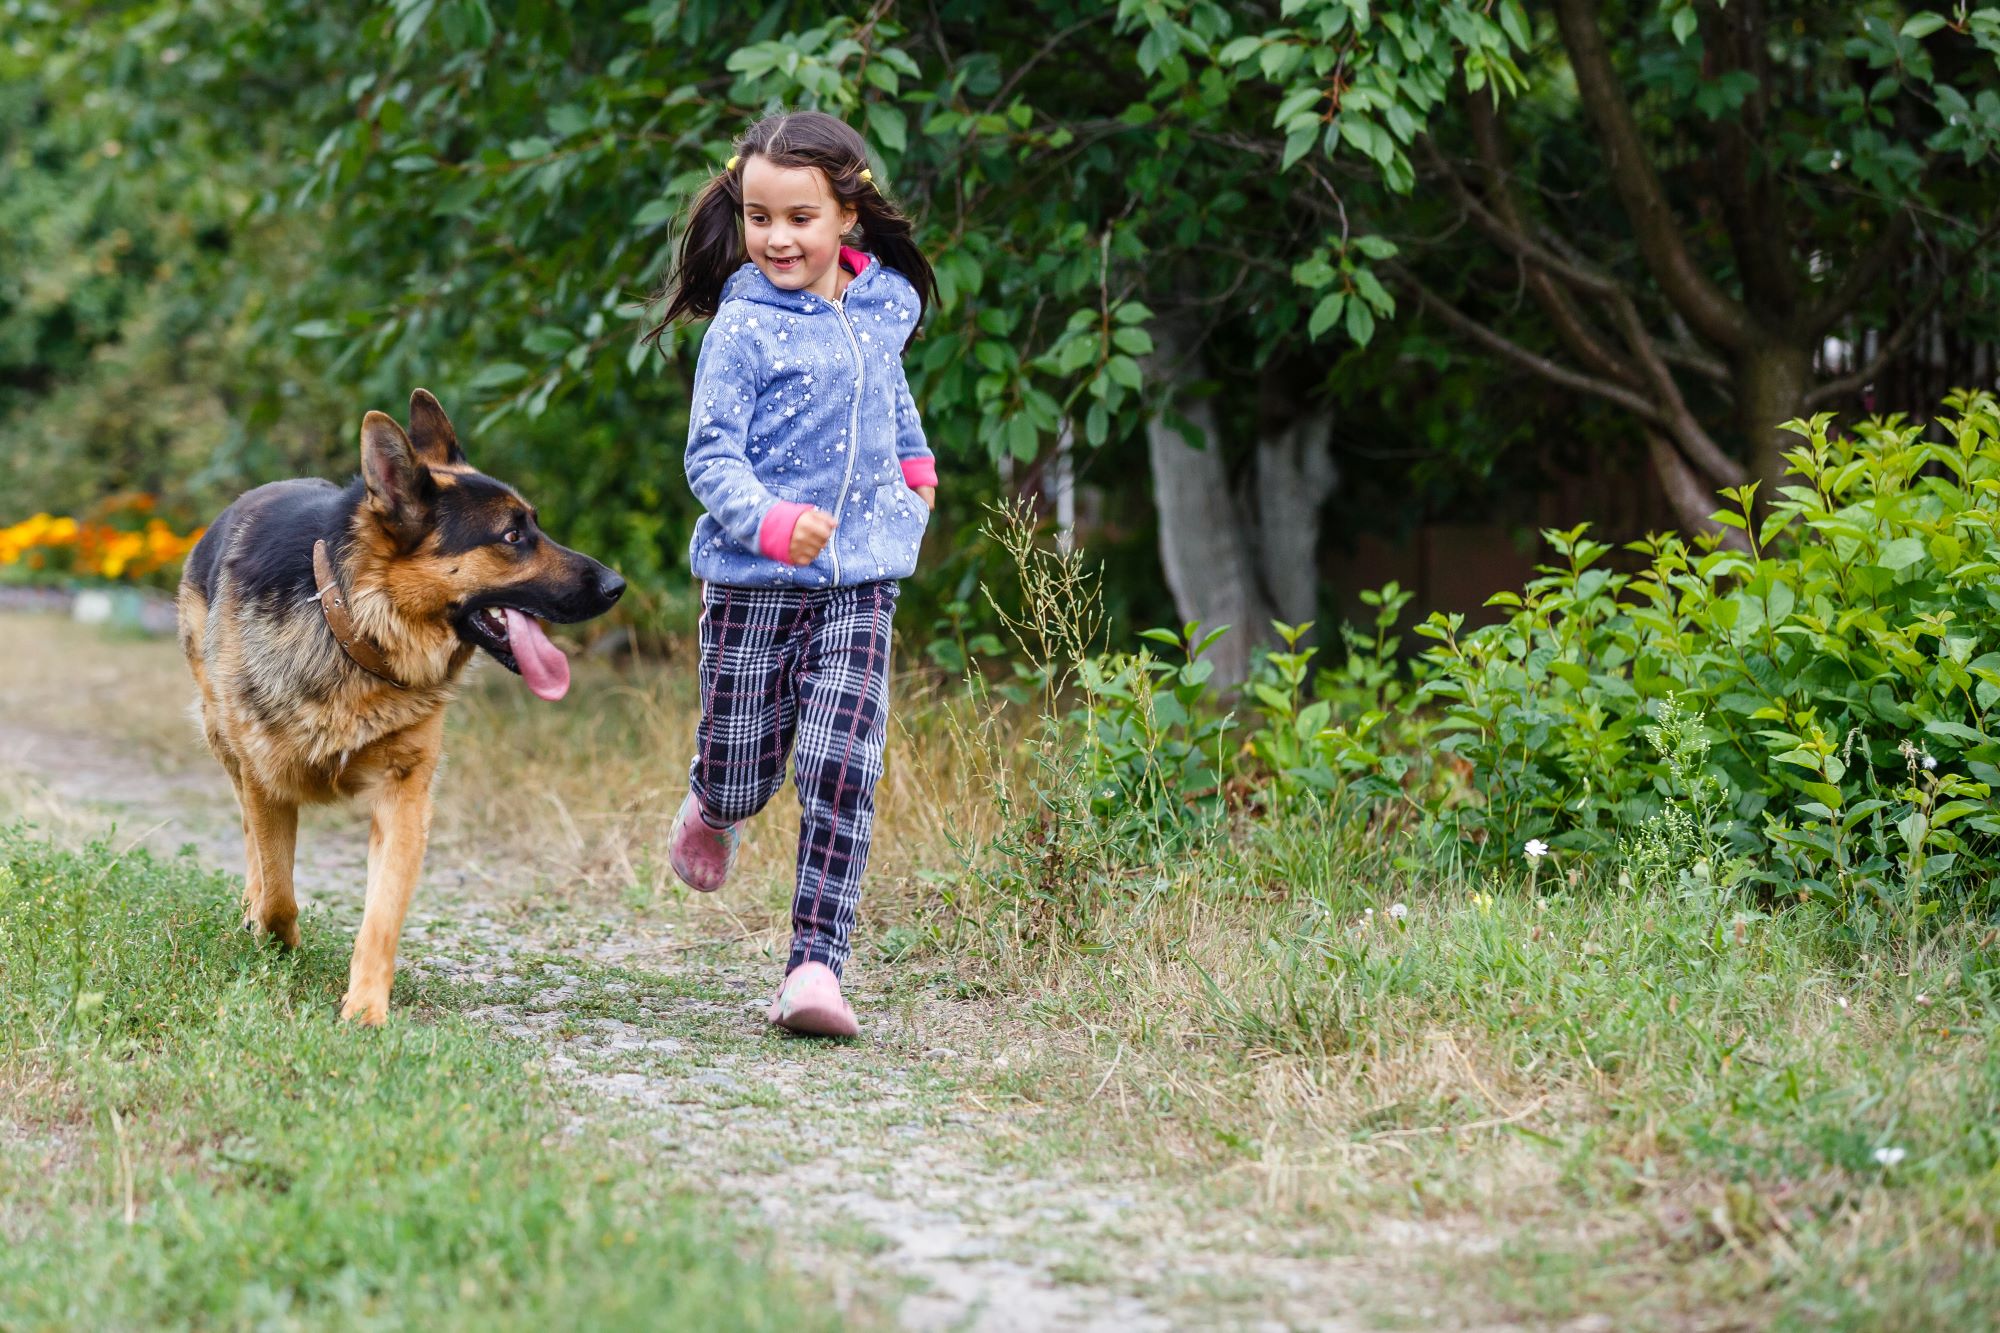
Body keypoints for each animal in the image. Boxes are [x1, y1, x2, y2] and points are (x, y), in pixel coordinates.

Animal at [178, 390, 624, 1020]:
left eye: (533, 525)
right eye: (512, 536)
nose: (617, 586)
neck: (356, 628)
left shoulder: (404, 798)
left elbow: (381, 914)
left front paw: (366, 1009)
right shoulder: (268, 782)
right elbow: (279, 888)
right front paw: (275, 936)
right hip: (224, 739)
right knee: (248, 834)